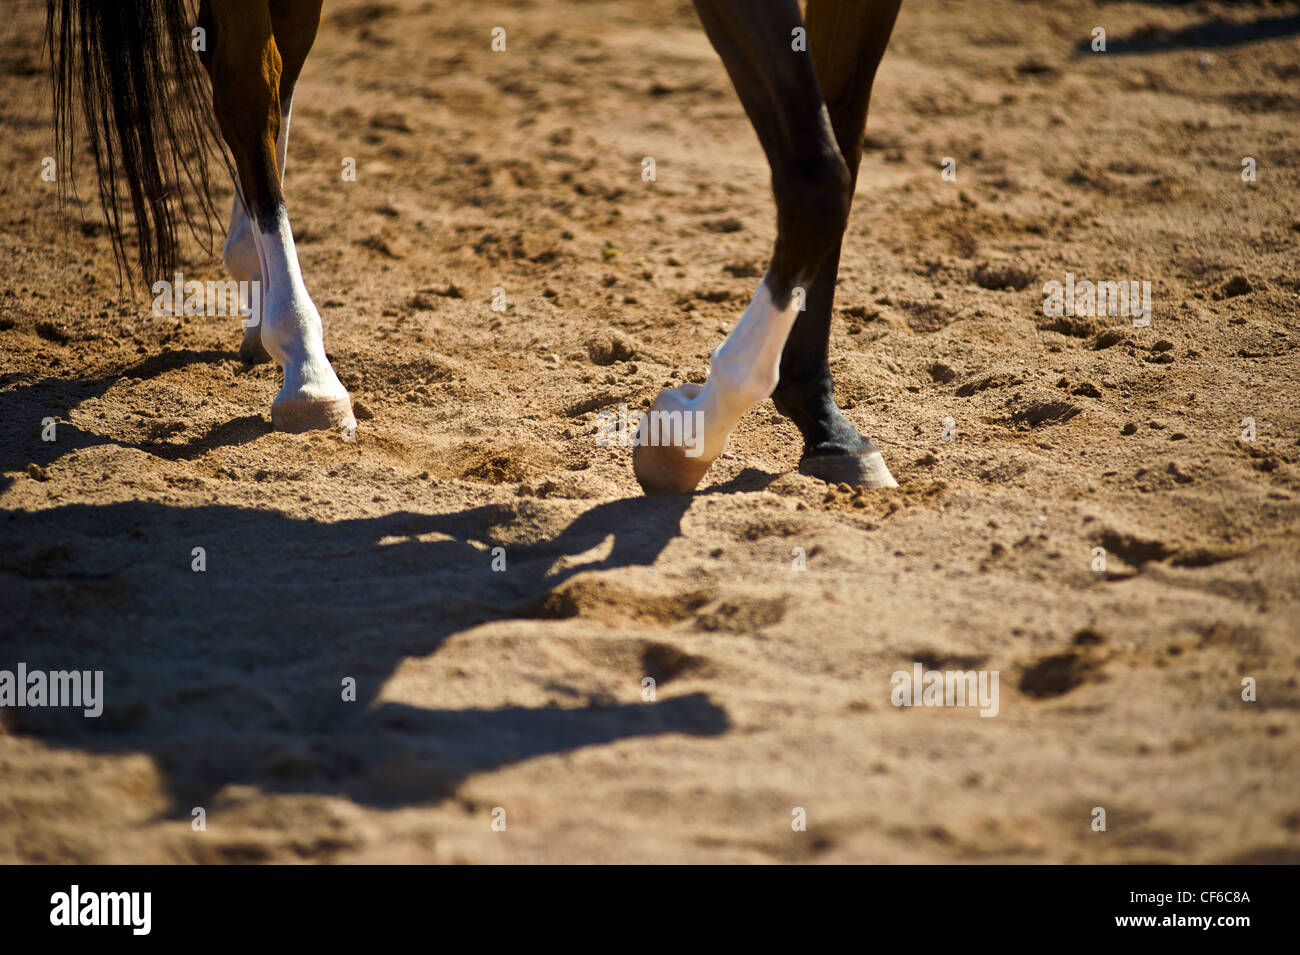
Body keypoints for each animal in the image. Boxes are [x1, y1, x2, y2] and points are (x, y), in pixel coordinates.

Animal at [45, 0, 903, 494]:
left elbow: (838, 148)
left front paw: (823, 422)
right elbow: (817, 171)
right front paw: (692, 430)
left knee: (275, 67)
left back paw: (256, 293)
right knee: (247, 82)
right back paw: (307, 366)